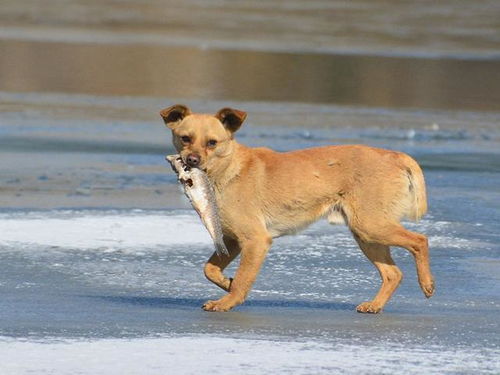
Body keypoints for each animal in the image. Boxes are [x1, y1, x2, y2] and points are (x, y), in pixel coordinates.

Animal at [159, 105, 434, 314]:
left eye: (212, 143)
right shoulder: (232, 239)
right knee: (393, 273)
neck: (228, 171)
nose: (192, 160)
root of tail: (395, 155)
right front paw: (227, 283)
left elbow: (243, 278)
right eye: (185, 138)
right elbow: (210, 269)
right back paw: (374, 305)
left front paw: (227, 300)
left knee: (420, 240)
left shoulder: (255, 239)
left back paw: (427, 284)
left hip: (370, 225)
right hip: (366, 234)